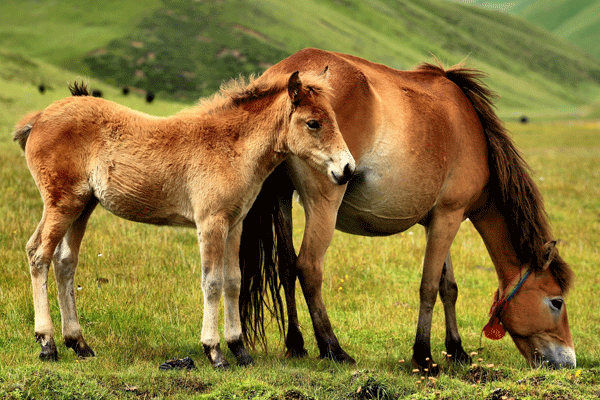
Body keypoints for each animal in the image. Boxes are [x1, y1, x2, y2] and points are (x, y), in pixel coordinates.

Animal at [14, 70, 356, 368]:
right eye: (313, 123)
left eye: (334, 119)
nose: (348, 169)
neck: (230, 147)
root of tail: (38, 118)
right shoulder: (211, 223)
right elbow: (212, 282)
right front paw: (215, 352)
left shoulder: (234, 225)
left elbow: (233, 281)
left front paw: (240, 350)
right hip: (62, 203)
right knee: (38, 254)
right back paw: (47, 344)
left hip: (83, 206)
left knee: (65, 262)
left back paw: (79, 344)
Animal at [239, 47, 576, 372]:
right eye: (556, 302)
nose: (569, 362)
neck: (473, 133)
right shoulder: (449, 216)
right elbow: (429, 286)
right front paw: (424, 356)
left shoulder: (437, 220)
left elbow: (449, 287)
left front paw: (457, 350)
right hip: (324, 202)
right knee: (308, 267)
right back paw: (333, 349)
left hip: (282, 198)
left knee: (286, 268)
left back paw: (296, 344)